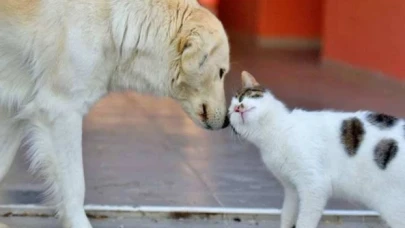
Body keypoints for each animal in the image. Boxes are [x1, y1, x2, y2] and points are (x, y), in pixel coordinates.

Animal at [0, 0, 229, 227]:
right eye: (221, 72)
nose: (227, 121)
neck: (113, 20)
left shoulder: (13, 108)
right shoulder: (62, 111)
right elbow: (74, 186)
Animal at [227, 70, 404, 227]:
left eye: (242, 97)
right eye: (230, 114)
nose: (237, 108)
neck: (274, 134)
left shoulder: (314, 186)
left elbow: (304, 222)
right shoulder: (292, 189)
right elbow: (288, 215)